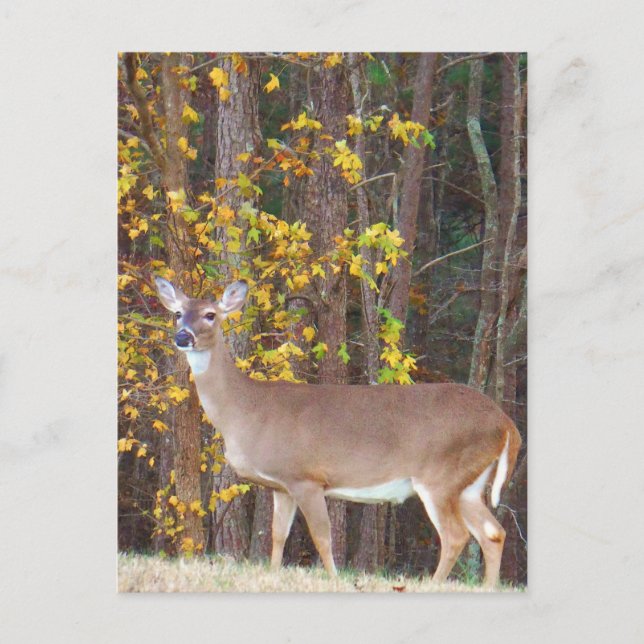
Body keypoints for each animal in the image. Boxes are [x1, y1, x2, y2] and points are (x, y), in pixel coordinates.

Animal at [155, 277, 522, 588]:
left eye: (210, 314)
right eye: (177, 313)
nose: (183, 337)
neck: (246, 410)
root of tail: (506, 423)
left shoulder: (307, 477)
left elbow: (322, 535)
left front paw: (332, 579)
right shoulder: (281, 485)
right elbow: (277, 535)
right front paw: (274, 574)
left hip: (440, 475)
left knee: (456, 535)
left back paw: (433, 585)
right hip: (468, 484)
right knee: (493, 532)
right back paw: (488, 588)